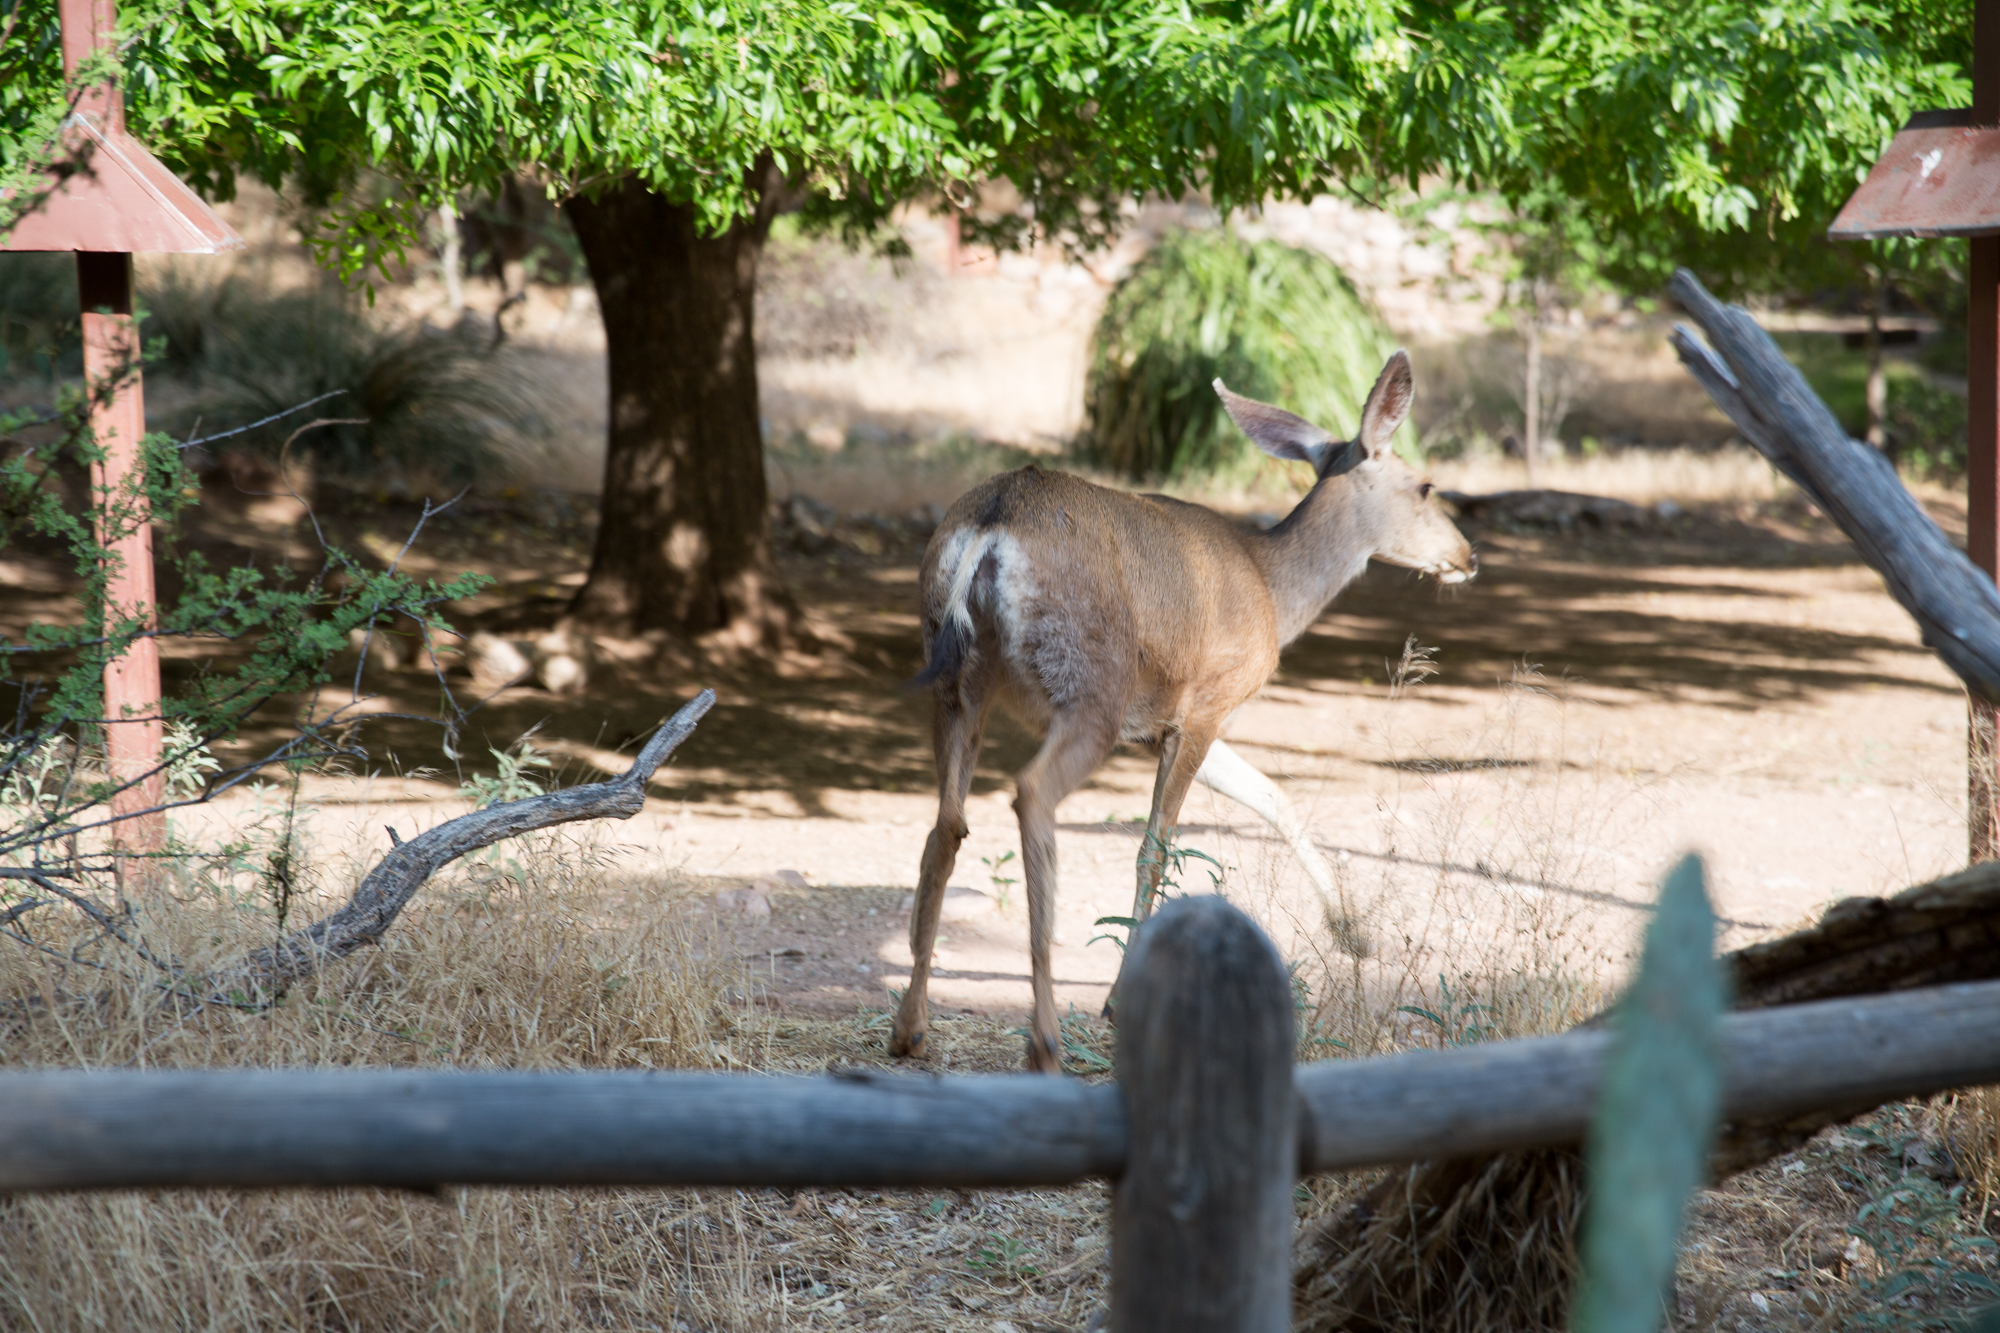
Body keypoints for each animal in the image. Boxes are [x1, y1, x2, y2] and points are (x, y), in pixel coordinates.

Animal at [892, 352, 1472, 1072]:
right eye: (1425, 486)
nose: (1467, 555)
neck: (1274, 590)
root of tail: (991, 525)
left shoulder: (1162, 723)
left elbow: (1272, 793)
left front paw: (1352, 931)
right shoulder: (1208, 701)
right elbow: (1156, 845)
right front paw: (1118, 999)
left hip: (953, 679)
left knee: (946, 824)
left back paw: (910, 1027)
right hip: (1089, 685)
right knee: (1030, 793)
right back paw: (1045, 1040)